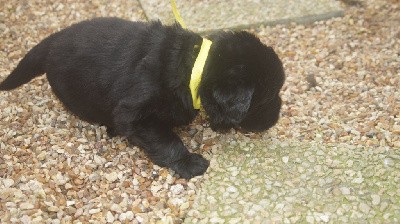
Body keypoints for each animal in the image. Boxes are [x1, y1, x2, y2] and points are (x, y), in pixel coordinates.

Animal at [0, 17, 284, 178]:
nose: (278, 116)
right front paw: (188, 163)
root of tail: (53, 40)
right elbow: (166, 141)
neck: (194, 68)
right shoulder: (134, 114)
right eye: (268, 98)